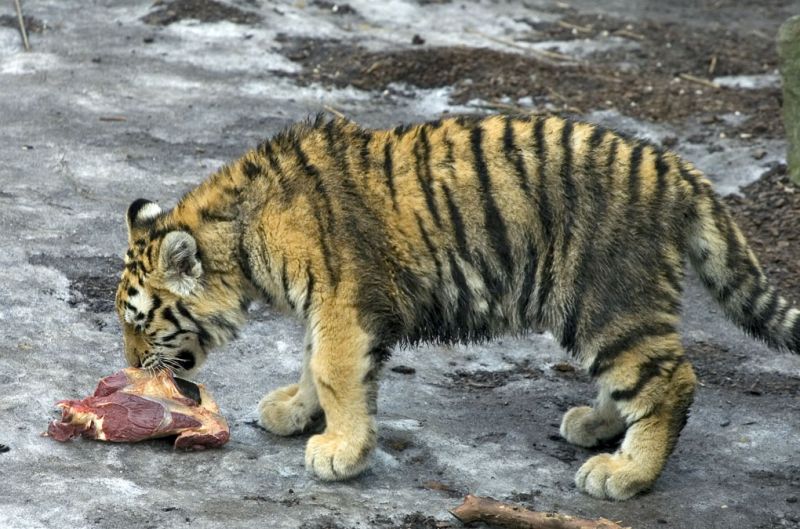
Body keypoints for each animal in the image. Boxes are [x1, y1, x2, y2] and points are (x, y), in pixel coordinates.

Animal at [115, 112, 796, 500]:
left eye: (141, 323)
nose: (129, 369)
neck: (241, 238)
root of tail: (678, 171)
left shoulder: (342, 302)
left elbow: (334, 372)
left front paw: (341, 452)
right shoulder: (328, 306)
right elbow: (312, 364)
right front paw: (295, 411)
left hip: (607, 295)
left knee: (670, 380)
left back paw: (624, 474)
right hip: (602, 308)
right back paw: (597, 425)